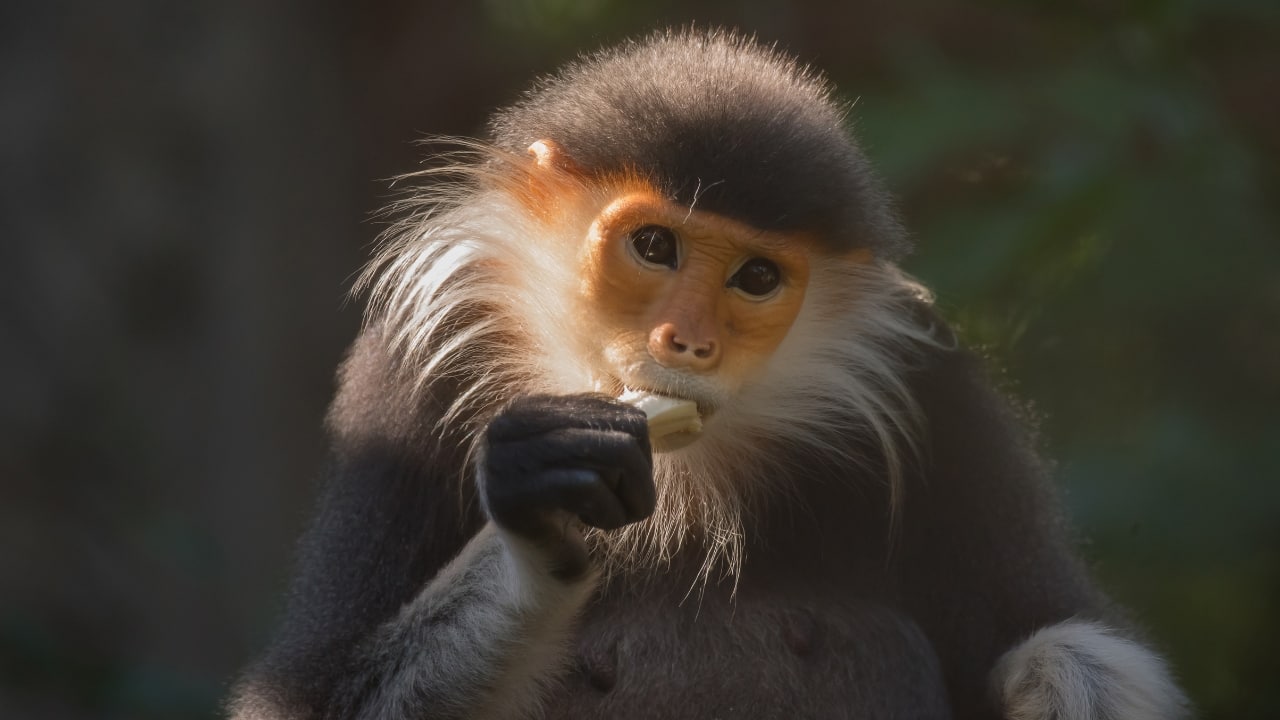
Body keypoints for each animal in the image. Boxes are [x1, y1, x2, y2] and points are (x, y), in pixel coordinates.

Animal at [229, 29, 1190, 720]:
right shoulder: (406, 384)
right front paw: (542, 507)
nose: (686, 343)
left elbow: (1064, 629)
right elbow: (306, 698)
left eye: (755, 278)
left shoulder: (937, 388)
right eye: (655, 247)